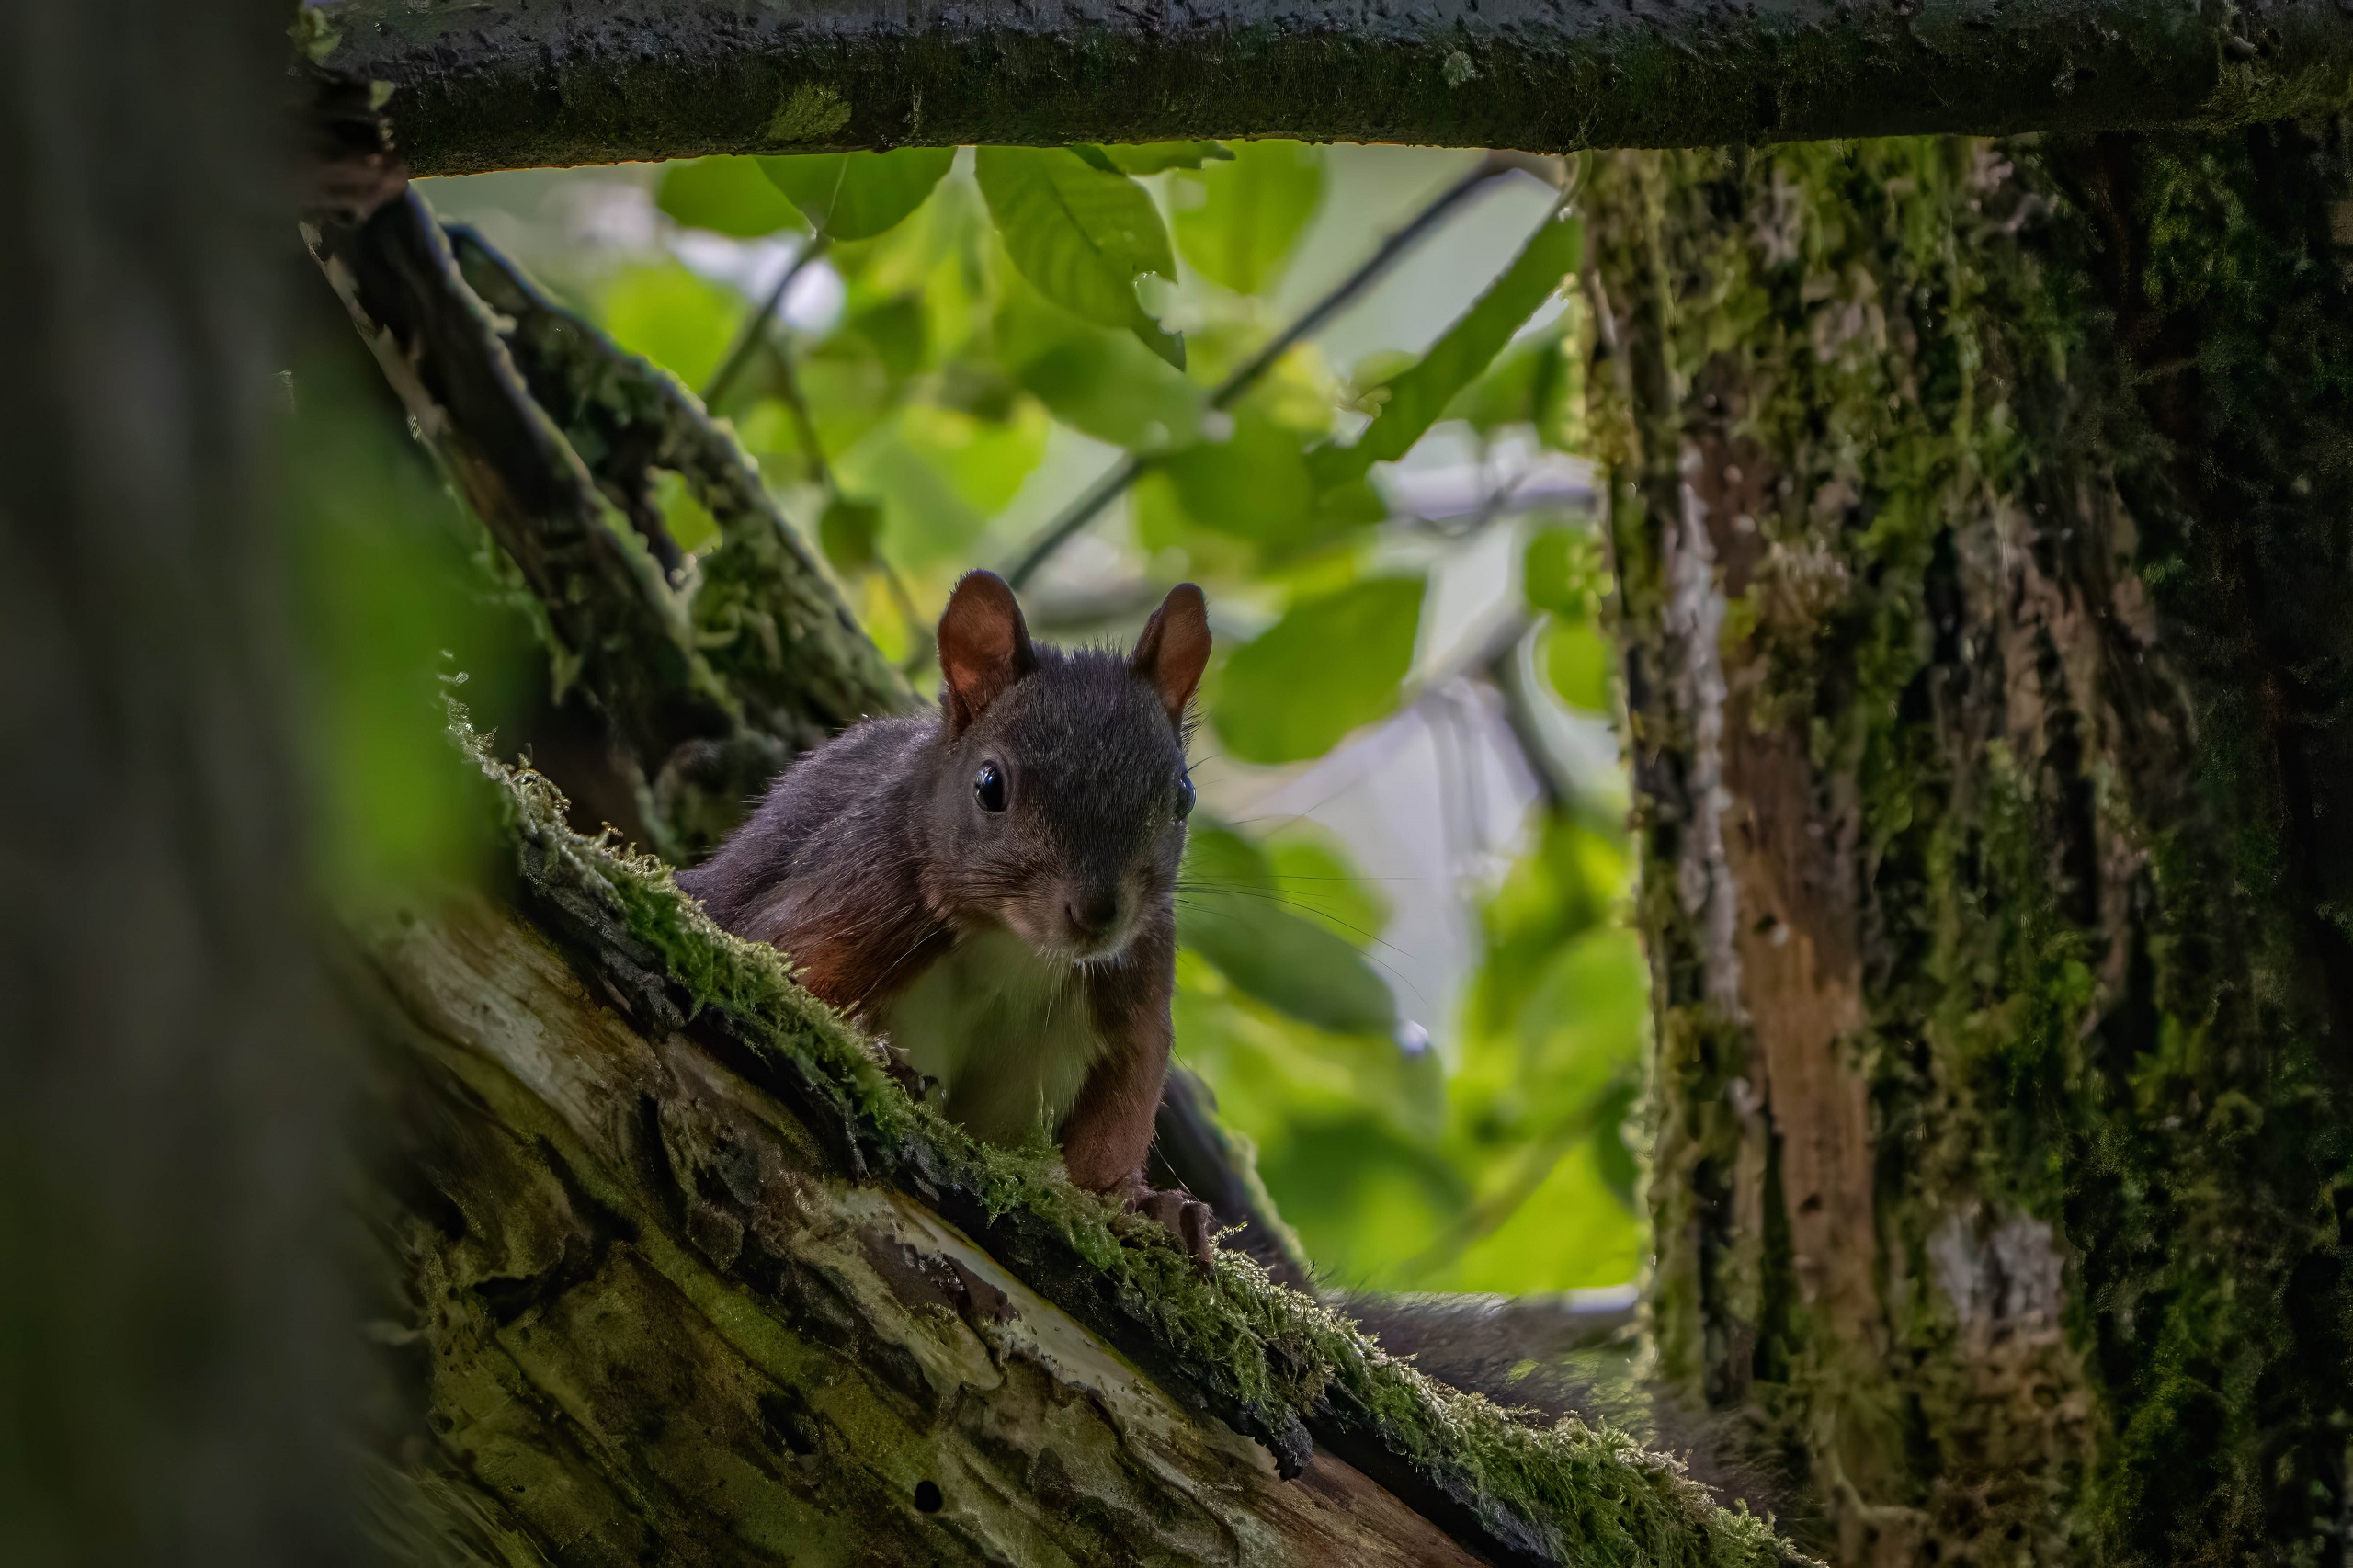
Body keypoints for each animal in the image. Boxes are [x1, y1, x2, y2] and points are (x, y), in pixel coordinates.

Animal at [677, 570, 1218, 1260]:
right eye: (990, 786)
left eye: (1184, 798)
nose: (1097, 914)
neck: (1015, 945)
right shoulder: (849, 899)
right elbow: (790, 975)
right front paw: (882, 1061)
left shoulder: (1135, 993)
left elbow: (1117, 1118)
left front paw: (1148, 1207)